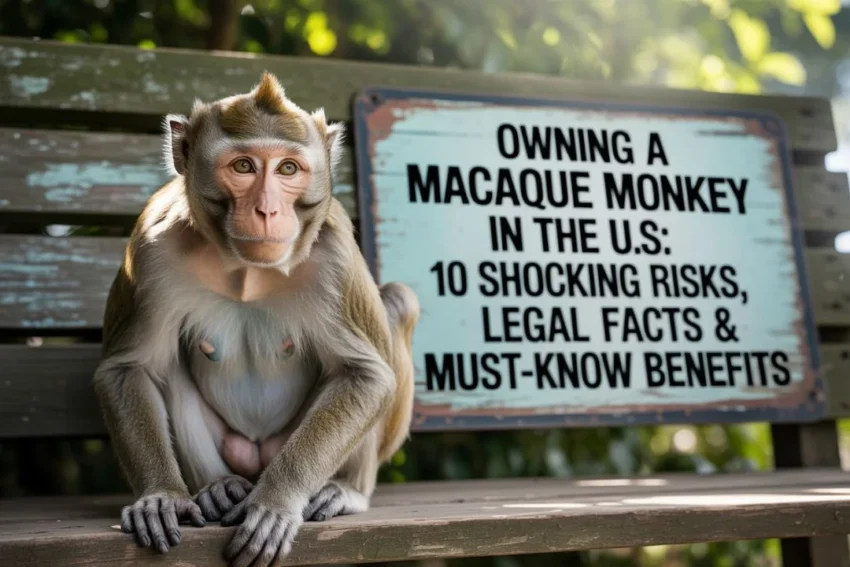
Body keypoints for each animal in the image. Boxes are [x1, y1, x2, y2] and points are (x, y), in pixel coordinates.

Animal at [92, 72, 420, 567]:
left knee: (396, 302)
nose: (267, 210)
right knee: (167, 365)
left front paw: (276, 501)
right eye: (244, 167)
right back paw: (216, 488)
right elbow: (129, 368)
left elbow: (365, 375)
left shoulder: (336, 258)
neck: (245, 269)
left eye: (287, 169)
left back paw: (344, 491)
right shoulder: (151, 248)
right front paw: (162, 494)